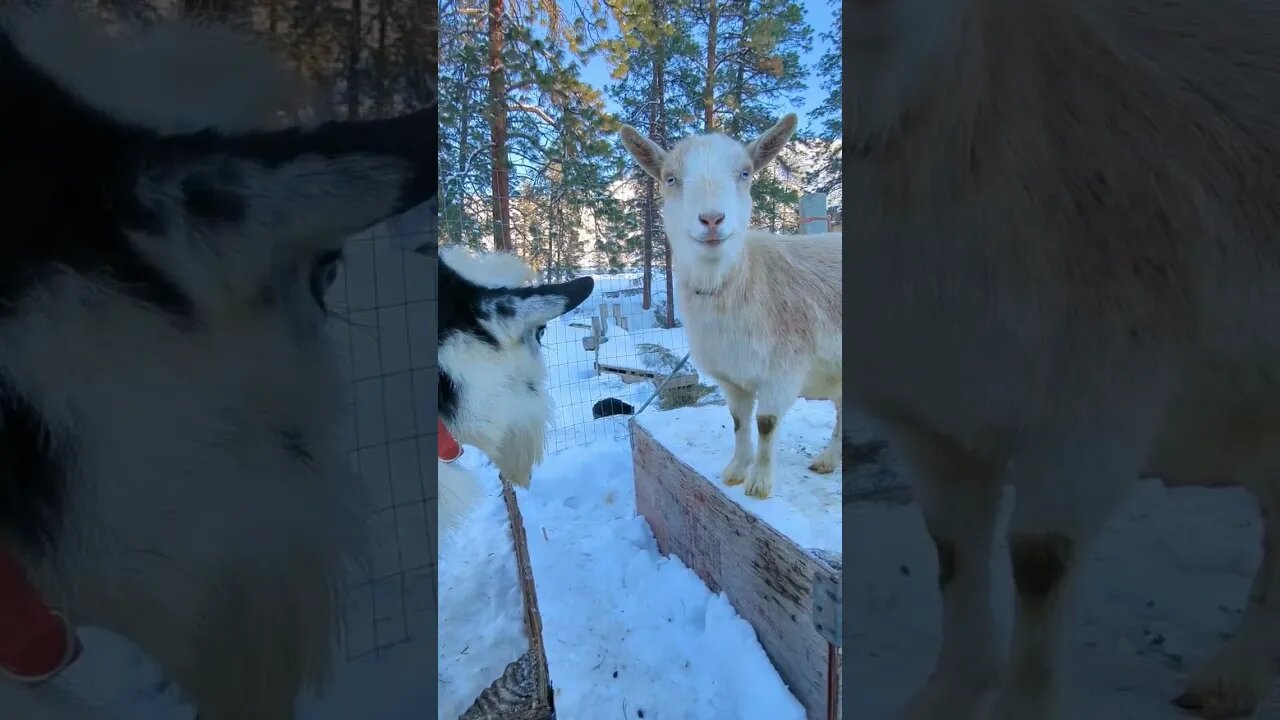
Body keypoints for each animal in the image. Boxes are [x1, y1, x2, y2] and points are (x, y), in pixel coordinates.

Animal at [619, 116, 842, 500]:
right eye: (670, 178)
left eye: (745, 173)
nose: (711, 219)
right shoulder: (730, 375)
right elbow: (738, 422)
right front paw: (736, 470)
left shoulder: (785, 368)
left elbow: (766, 423)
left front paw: (759, 483)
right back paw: (829, 460)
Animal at [850, 0, 1280, 717]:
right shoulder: (930, 419)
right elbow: (952, 550)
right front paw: (946, 694)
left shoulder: (1099, 397)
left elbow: (1040, 560)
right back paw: (1233, 679)